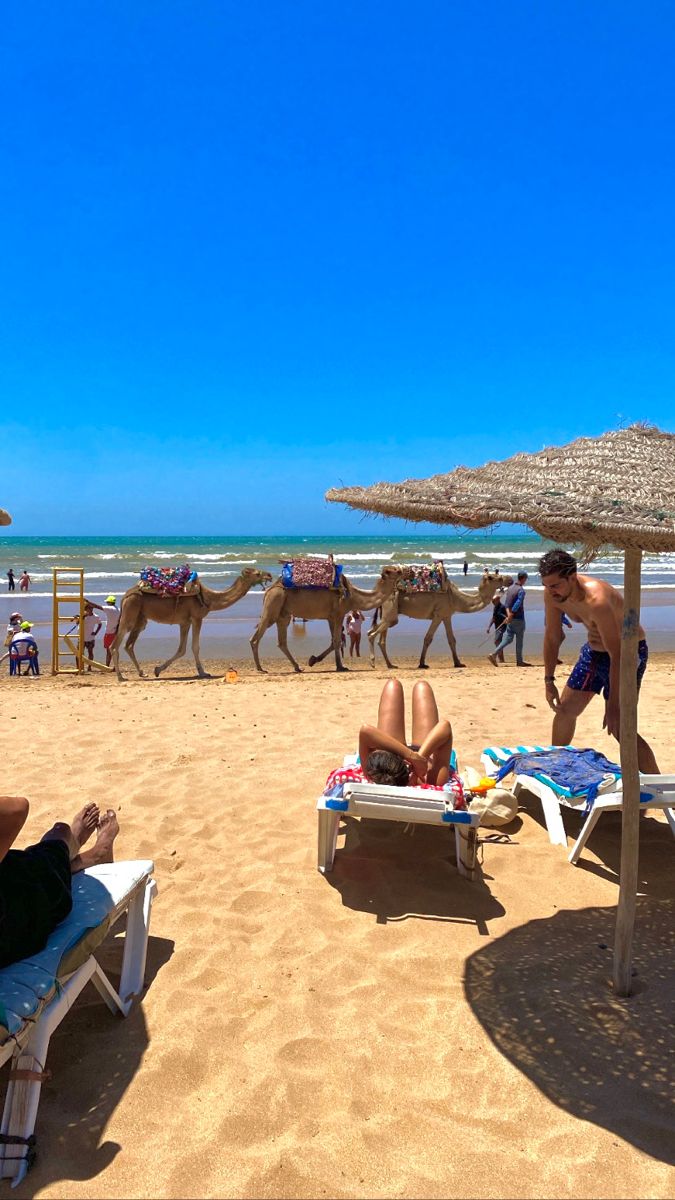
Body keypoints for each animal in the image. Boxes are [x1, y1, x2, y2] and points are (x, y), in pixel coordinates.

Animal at [110, 566, 270, 681]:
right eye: (257, 573)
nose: (269, 575)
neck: (209, 598)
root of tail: (126, 595)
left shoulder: (184, 622)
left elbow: (182, 649)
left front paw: (157, 670)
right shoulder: (197, 618)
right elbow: (195, 647)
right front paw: (203, 672)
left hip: (140, 619)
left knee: (128, 645)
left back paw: (142, 673)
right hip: (129, 614)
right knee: (115, 645)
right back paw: (120, 676)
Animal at [249, 564, 401, 676]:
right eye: (391, 571)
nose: (402, 569)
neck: (352, 596)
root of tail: (270, 589)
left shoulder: (330, 617)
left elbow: (333, 641)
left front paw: (313, 660)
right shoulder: (339, 613)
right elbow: (337, 641)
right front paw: (340, 667)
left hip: (283, 614)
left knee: (281, 642)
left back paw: (297, 667)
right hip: (273, 603)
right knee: (256, 637)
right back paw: (260, 668)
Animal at [365, 566, 502, 672]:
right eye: (491, 577)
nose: (503, 578)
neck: (455, 597)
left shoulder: (447, 615)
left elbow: (451, 639)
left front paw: (458, 663)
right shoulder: (438, 615)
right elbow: (428, 638)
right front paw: (422, 664)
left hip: (387, 613)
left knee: (379, 638)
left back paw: (390, 665)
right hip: (390, 609)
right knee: (372, 634)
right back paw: (372, 663)